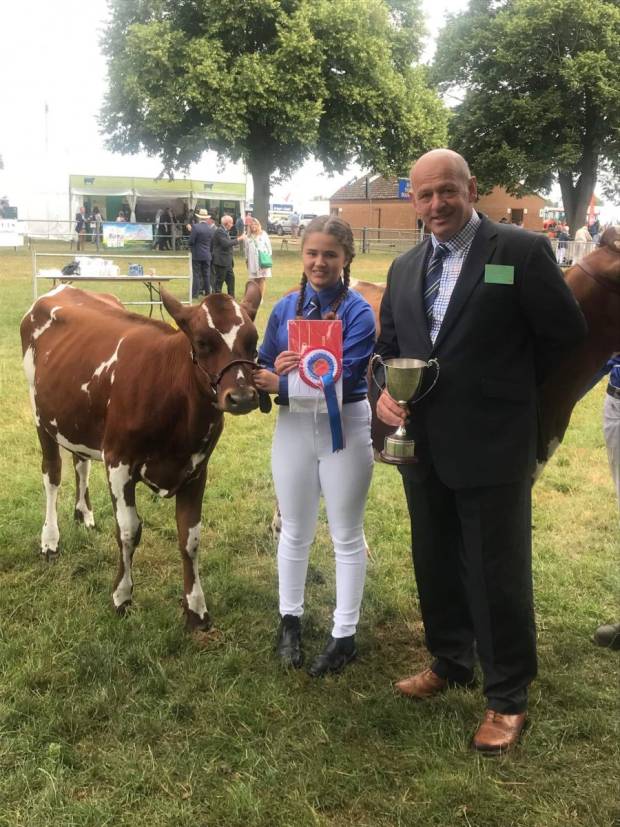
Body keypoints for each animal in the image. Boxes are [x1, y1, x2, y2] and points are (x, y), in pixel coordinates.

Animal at [21, 282, 262, 632]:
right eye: (202, 342)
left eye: (253, 340)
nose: (242, 397)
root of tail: (62, 287)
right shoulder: (118, 463)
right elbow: (129, 530)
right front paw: (121, 597)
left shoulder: (196, 469)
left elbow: (190, 538)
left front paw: (196, 609)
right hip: (41, 415)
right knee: (52, 474)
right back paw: (50, 541)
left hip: (77, 418)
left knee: (81, 462)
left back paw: (84, 514)